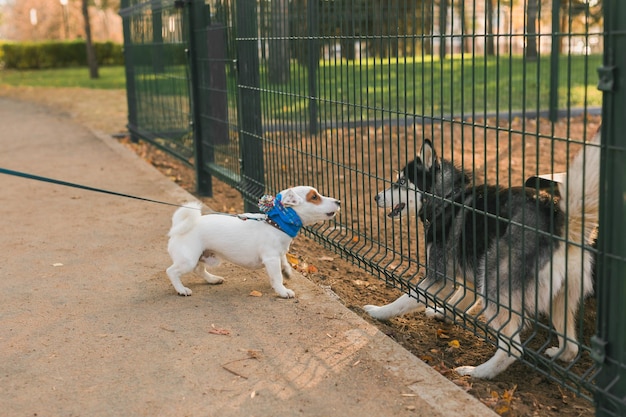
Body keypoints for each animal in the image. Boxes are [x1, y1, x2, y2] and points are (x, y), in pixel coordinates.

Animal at [165, 187, 342, 298]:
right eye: (314, 197)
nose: (339, 201)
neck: (277, 223)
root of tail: (178, 228)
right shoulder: (271, 258)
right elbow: (277, 277)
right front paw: (282, 291)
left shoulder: (278, 254)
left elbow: (284, 263)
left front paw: (286, 271)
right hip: (188, 260)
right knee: (172, 271)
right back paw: (181, 289)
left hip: (204, 256)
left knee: (199, 270)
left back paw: (213, 279)